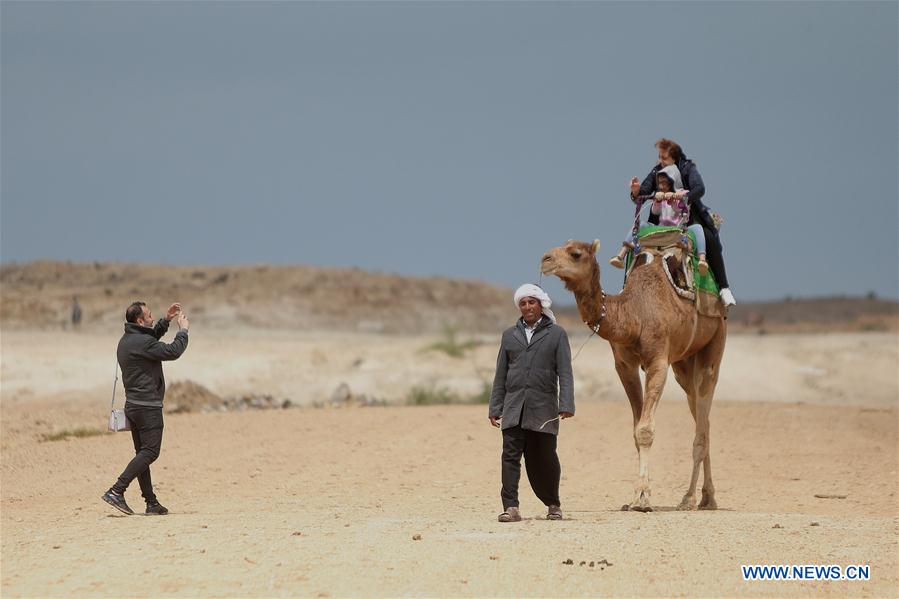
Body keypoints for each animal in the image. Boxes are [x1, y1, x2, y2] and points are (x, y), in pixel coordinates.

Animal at [540, 239, 724, 510]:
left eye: (575, 253)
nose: (545, 260)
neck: (635, 314)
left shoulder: (658, 361)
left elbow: (645, 430)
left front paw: (643, 497)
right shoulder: (624, 366)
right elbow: (636, 430)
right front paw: (636, 497)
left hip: (715, 340)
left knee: (702, 418)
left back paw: (691, 498)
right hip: (683, 363)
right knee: (703, 418)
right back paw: (707, 497)